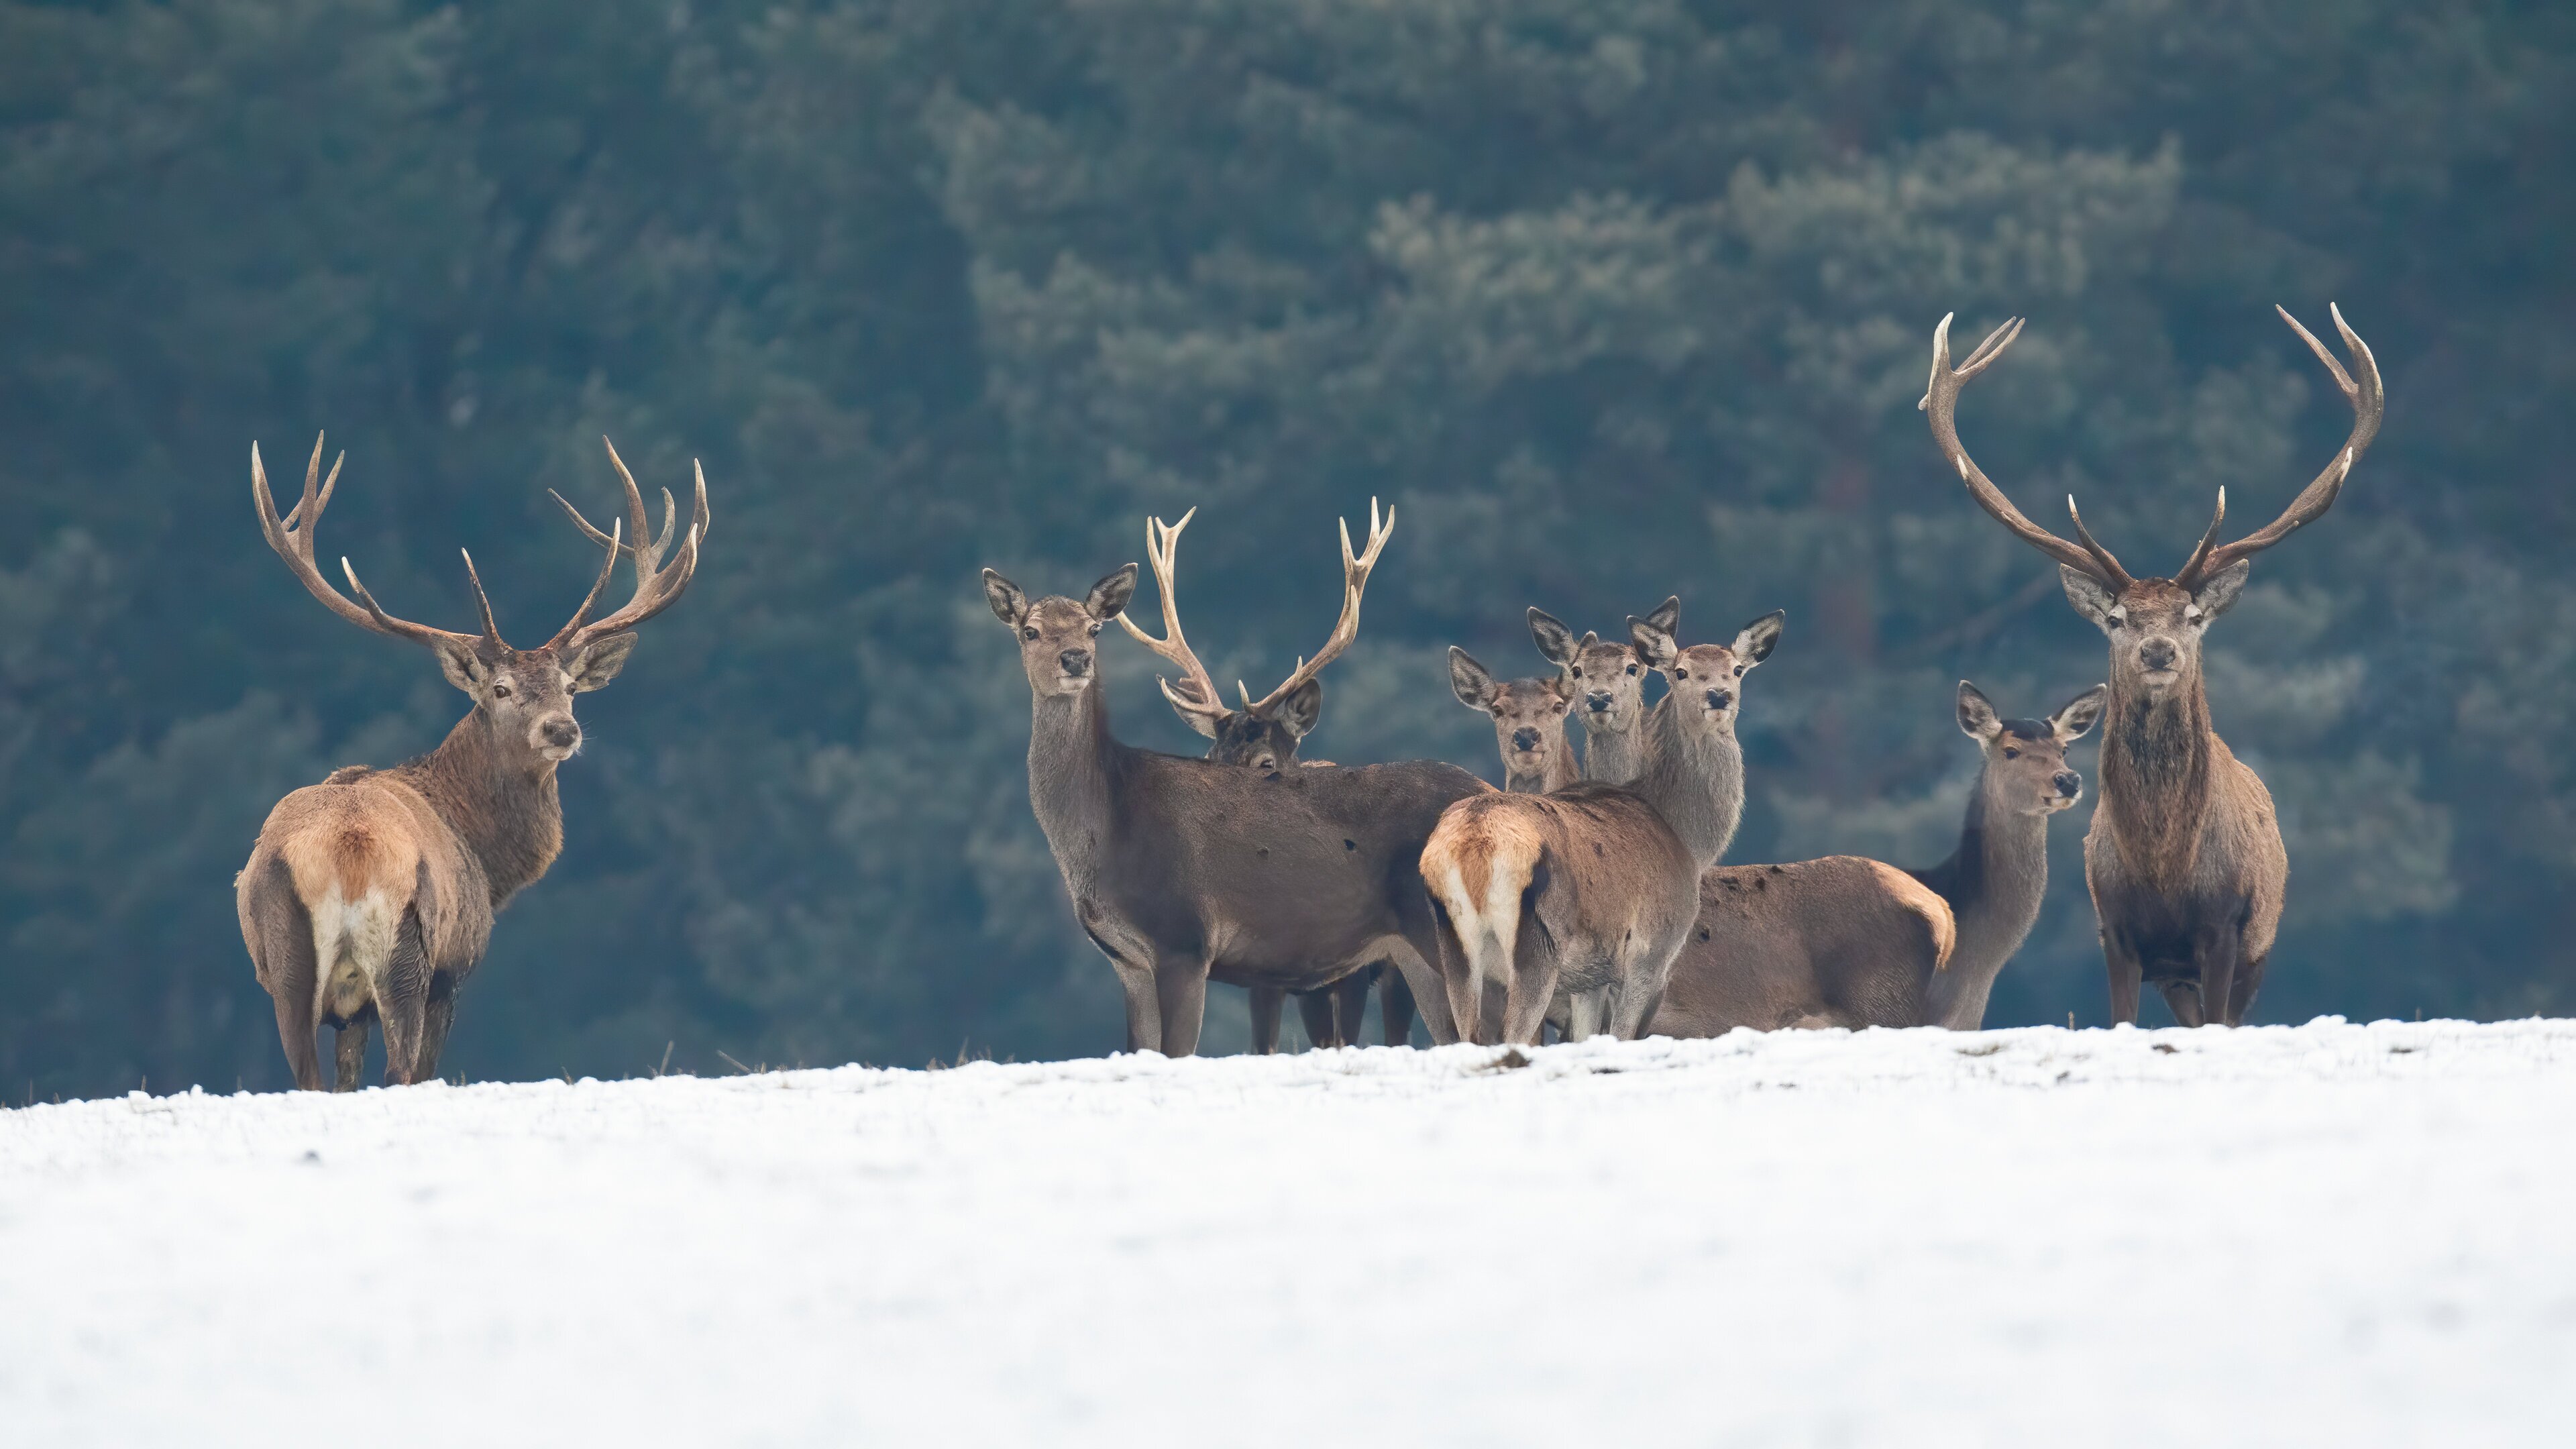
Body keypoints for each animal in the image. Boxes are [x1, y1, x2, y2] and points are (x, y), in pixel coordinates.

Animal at [234, 430, 706, 1083]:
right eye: (501, 690)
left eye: (570, 687)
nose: (563, 728)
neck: (486, 856)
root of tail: (343, 854)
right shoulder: (453, 971)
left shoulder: (348, 1012)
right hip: (407, 955)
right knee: (401, 1073)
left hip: (285, 963)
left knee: (310, 1078)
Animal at [989, 505, 1494, 1046]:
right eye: (1030, 630)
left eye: (1094, 629)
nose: (1075, 659)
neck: (1109, 834)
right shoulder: (1129, 964)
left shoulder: (1186, 942)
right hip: (1413, 956)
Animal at [1421, 606, 1782, 1036]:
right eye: (1681, 671)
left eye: (1737, 669)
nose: (1718, 695)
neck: (1686, 839)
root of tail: (1474, 844)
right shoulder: (1651, 953)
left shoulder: (1590, 978)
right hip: (1538, 946)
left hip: (1452, 946)